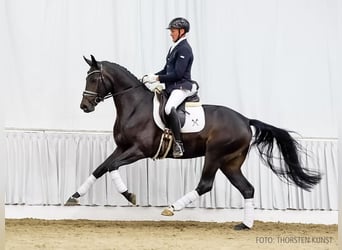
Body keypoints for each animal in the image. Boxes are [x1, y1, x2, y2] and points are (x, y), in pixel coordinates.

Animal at [65, 55, 322, 230]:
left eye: (94, 78)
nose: (84, 106)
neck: (135, 106)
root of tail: (245, 120)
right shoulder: (122, 147)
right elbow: (100, 168)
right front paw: (74, 196)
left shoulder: (139, 150)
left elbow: (111, 167)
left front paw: (129, 196)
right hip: (230, 162)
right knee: (247, 188)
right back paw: (245, 225)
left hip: (215, 154)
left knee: (205, 184)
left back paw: (171, 208)